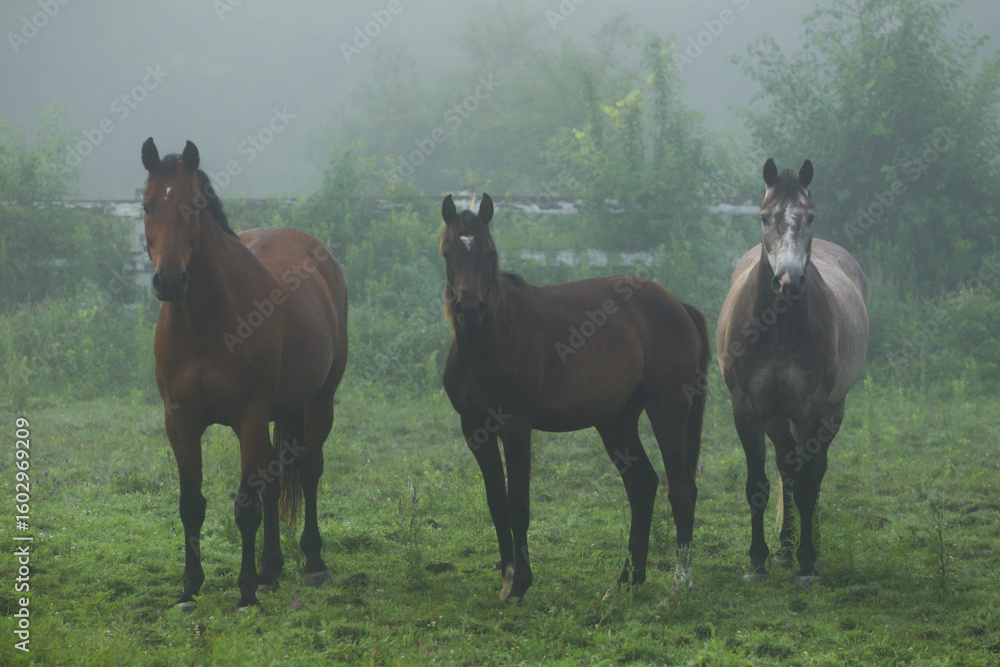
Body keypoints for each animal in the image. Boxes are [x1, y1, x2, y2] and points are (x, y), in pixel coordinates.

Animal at [140, 138, 348, 610]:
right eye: (146, 205)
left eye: (193, 205)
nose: (169, 281)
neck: (207, 323)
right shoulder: (179, 421)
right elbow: (191, 504)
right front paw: (189, 587)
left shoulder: (249, 416)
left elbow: (245, 506)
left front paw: (246, 592)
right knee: (273, 480)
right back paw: (272, 569)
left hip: (318, 402)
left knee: (309, 470)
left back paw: (312, 563)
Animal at [439, 193, 710, 600]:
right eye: (448, 253)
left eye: (489, 252)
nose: (469, 310)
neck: (489, 342)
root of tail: (679, 305)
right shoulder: (475, 430)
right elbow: (496, 503)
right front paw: (507, 577)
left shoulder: (516, 428)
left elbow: (518, 505)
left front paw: (521, 583)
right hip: (616, 422)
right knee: (642, 486)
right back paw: (627, 579)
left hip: (668, 410)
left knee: (680, 489)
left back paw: (680, 581)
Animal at [716, 159, 868, 583]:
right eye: (764, 216)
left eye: (810, 216)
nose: (788, 280)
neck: (777, 326)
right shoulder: (748, 410)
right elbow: (758, 484)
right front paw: (757, 561)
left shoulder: (810, 409)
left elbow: (807, 486)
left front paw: (807, 563)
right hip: (776, 417)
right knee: (787, 468)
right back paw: (783, 548)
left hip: (832, 411)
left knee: (813, 472)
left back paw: (805, 543)